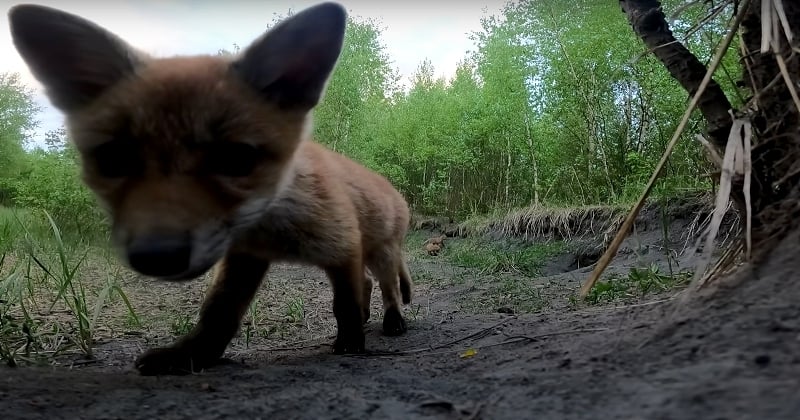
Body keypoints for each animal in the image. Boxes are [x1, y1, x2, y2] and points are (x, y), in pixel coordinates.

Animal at [9, 0, 416, 374]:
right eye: (113, 159)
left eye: (237, 158)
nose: (157, 255)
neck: (272, 229)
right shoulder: (245, 256)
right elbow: (217, 315)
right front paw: (191, 356)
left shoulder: (341, 243)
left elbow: (344, 303)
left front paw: (351, 344)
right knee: (369, 283)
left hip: (380, 252)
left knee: (388, 286)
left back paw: (393, 321)